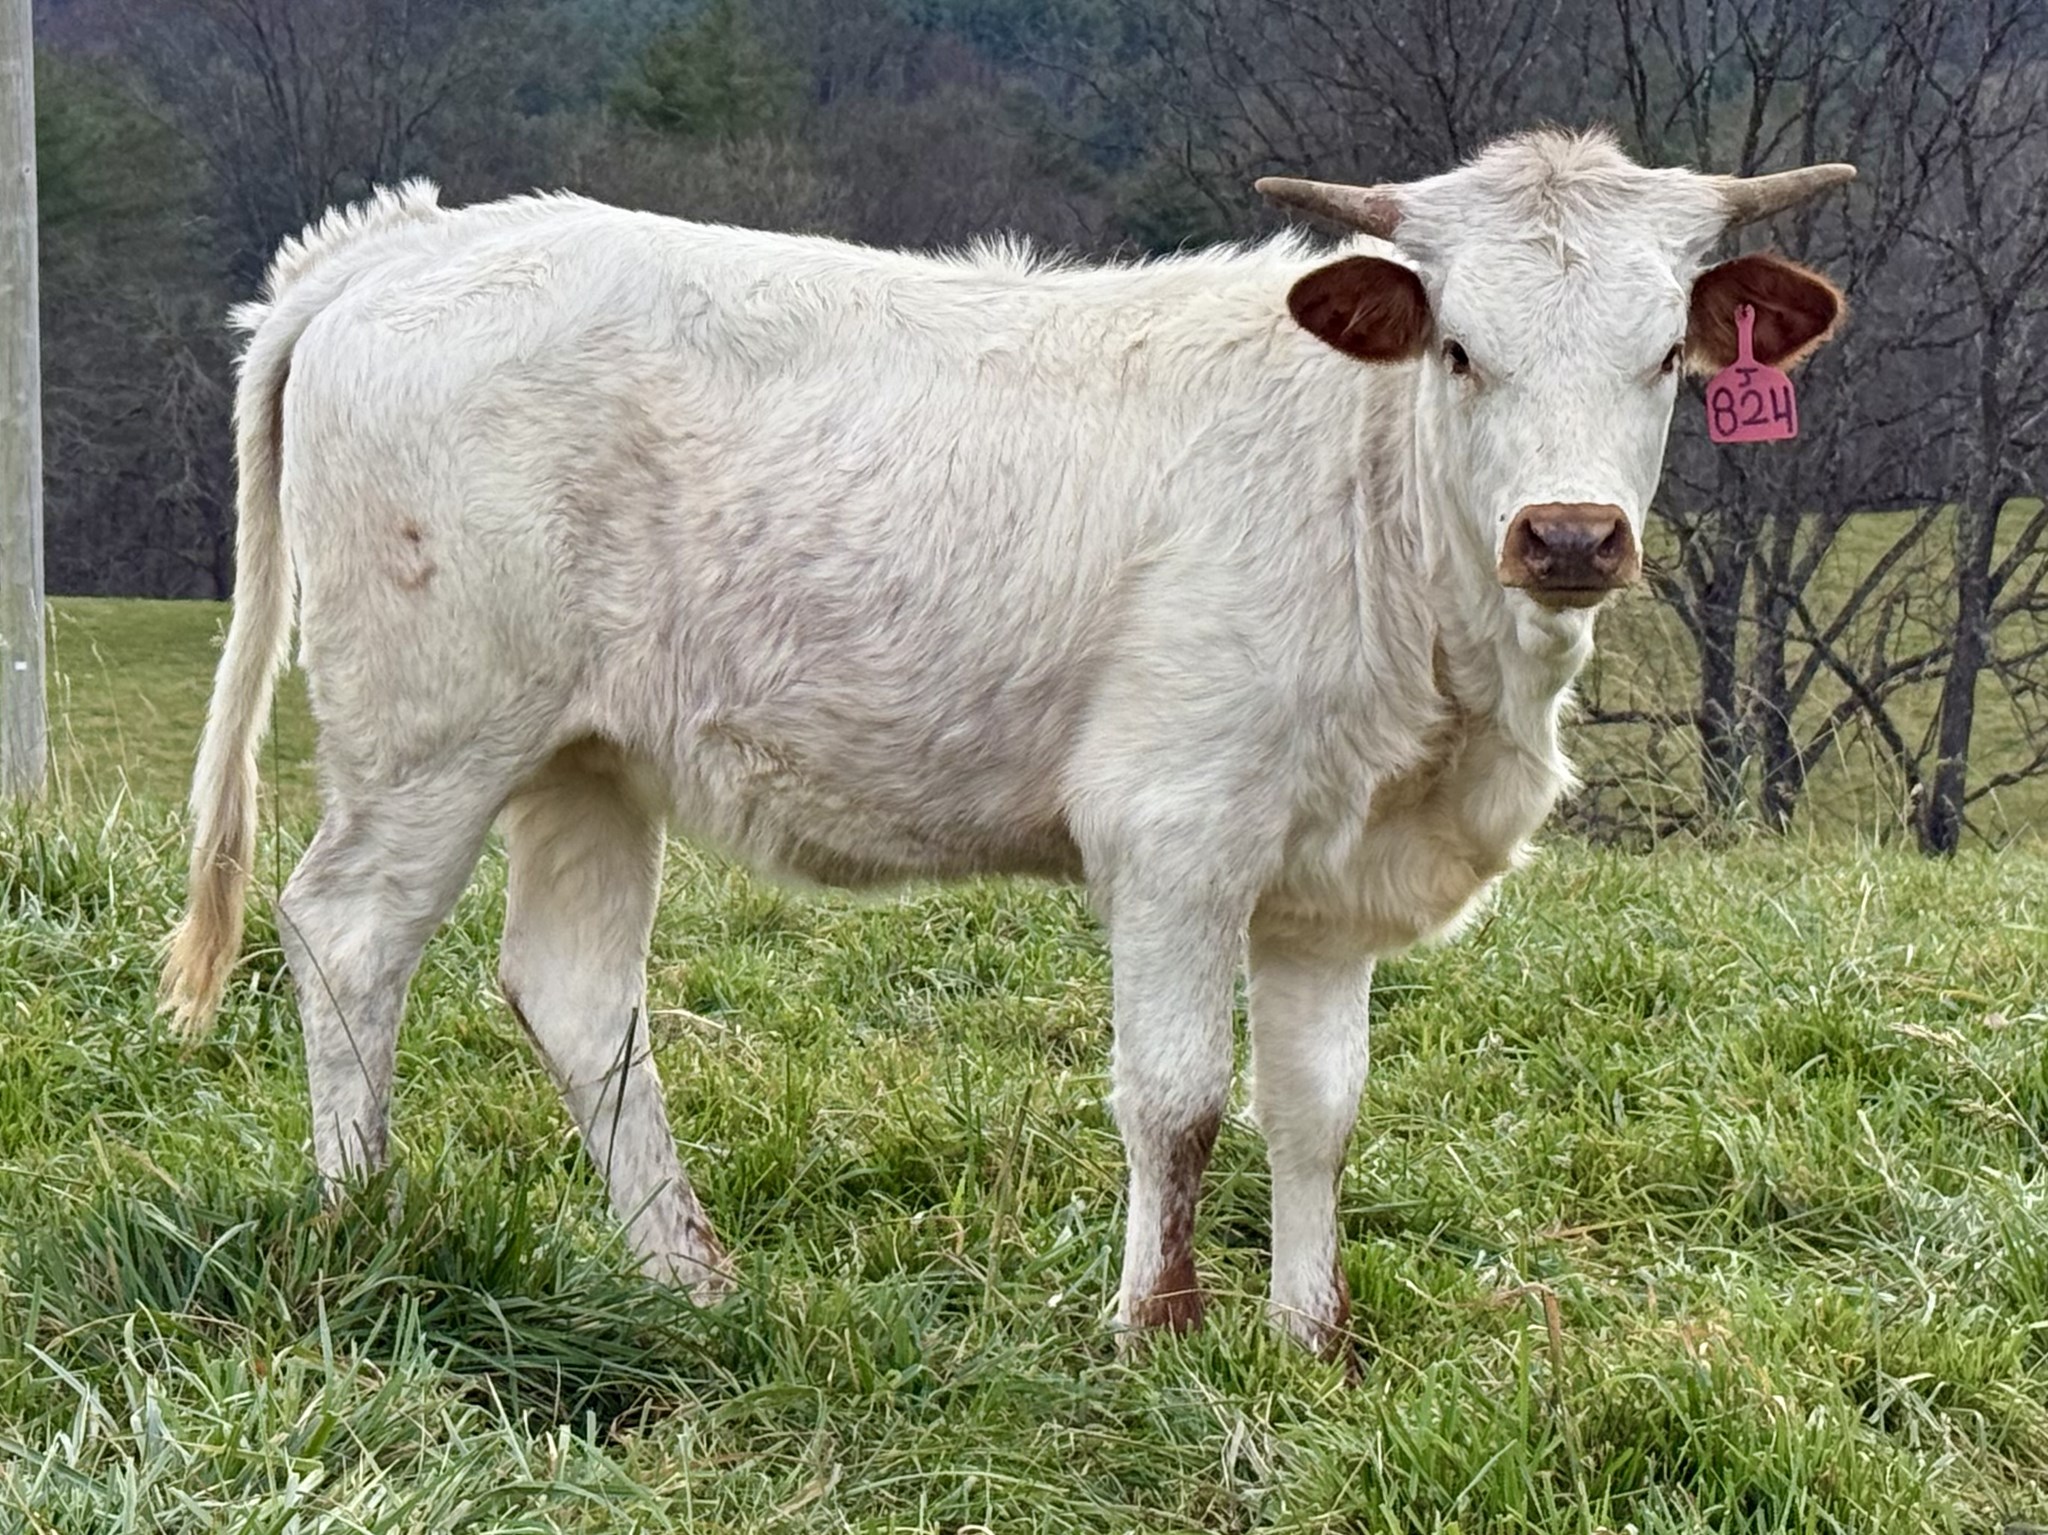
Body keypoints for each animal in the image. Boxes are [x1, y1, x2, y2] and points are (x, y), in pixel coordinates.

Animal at [162, 128, 1852, 1357]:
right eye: (1459, 351)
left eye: (1664, 355)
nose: (1569, 534)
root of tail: (403, 239)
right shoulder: (1175, 828)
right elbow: (1178, 1095)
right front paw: (1157, 1331)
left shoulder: (1332, 876)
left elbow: (1318, 1107)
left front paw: (1312, 1340)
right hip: (433, 728)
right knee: (349, 931)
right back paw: (364, 1222)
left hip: (587, 756)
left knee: (577, 990)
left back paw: (690, 1277)